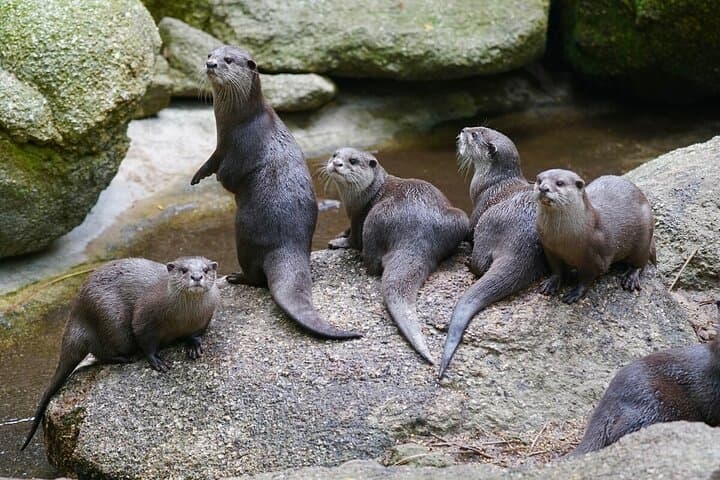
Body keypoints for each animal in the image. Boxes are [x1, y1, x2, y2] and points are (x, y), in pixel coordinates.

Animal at [21, 256, 220, 450]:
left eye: (206, 270)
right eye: (183, 270)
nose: (196, 277)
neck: (182, 319)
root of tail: (77, 314)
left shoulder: (205, 318)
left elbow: (195, 334)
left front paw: (193, 345)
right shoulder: (145, 317)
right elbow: (146, 341)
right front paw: (156, 360)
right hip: (112, 322)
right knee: (100, 351)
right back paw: (126, 358)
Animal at [190, 45, 360, 339]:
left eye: (228, 60)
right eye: (210, 54)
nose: (210, 64)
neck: (240, 121)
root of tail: (287, 246)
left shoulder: (239, 148)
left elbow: (228, 178)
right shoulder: (220, 146)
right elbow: (210, 161)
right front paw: (198, 175)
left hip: (244, 233)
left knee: (257, 278)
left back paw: (236, 277)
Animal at [323, 148, 469, 364]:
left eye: (353, 161)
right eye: (334, 155)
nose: (336, 163)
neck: (367, 195)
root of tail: (419, 233)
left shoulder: (359, 216)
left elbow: (354, 239)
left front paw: (340, 242)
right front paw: (341, 233)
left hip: (375, 216)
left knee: (373, 263)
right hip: (459, 218)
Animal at [438, 127, 546, 378]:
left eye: (475, 135)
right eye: (478, 127)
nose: (463, 129)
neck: (493, 181)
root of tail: (522, 246)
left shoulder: (480, 204)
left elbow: (469, 227)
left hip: (488, 224)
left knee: (480, 264)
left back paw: (468, 262)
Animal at [534, 169, 656, 304]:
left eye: (559, 183)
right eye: (539, 180)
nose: (543, 188)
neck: (561, 239)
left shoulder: (594, 257)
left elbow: (587, 278)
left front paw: (576, 293)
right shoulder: (549, 249)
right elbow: (556, 269)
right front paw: (551, 283)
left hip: (644, 237)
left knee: (641, 261)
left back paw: (631, 278)